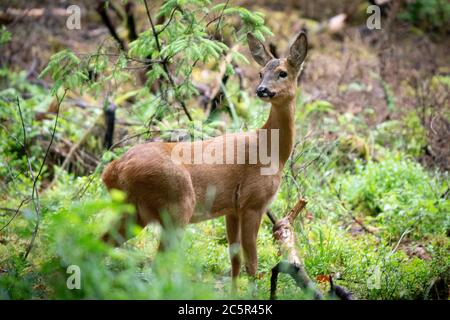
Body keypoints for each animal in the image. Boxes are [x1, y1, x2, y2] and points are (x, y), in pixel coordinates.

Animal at [100, 31, 308, 282]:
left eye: (282, 72)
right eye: (261, 73)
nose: (262, 90)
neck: (271, 149)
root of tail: (113, 171)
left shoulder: (232, 208)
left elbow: (235, 261)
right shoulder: (253, 202)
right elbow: (252, 263)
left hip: (134, 211)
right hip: (177, 204)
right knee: (158, 264)